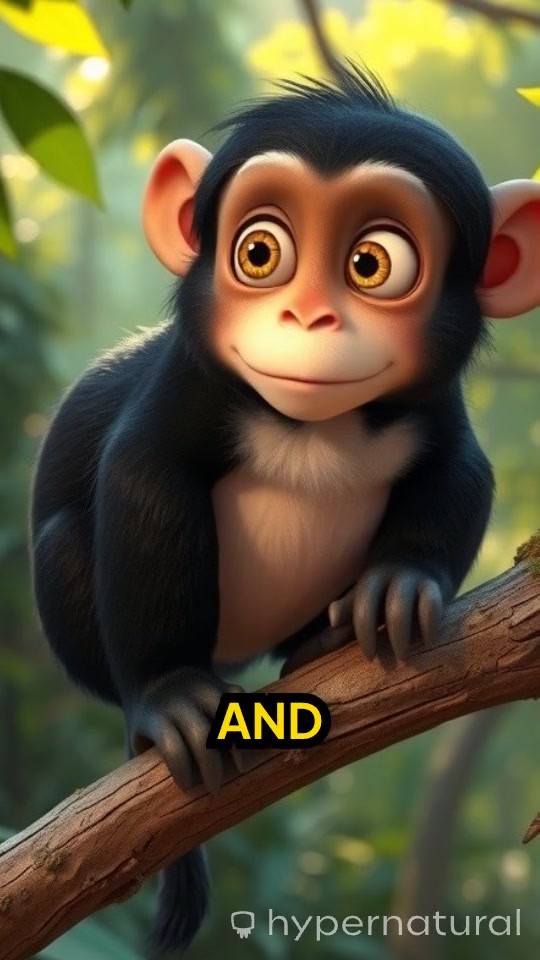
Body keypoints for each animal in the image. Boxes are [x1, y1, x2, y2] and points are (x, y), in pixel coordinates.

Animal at [30, 63, 540, 955]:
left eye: (374, 262)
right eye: (260, 251)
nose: (308, 316)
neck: (313, 428)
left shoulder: (437, 412)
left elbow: (458, 474)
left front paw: (396, 584)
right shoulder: (182, 389)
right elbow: (141, 477)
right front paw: (170, 695)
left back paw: (322, 639)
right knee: (67, 545)